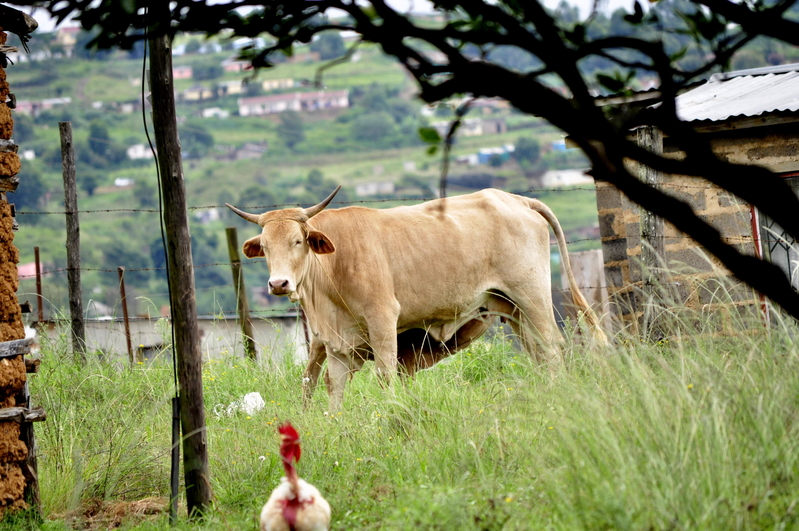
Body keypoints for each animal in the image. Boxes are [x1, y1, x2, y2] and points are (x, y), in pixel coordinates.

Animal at [227, 187, 607, 410]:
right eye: (265, 246)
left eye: (298, 241)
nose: (279, 283)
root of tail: (516, 199)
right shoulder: (335, 343)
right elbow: (333, 386)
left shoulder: (382, 320)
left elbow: (385, 375)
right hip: (511, 308)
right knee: (538, 351)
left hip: (532, 296)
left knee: (552, 347)